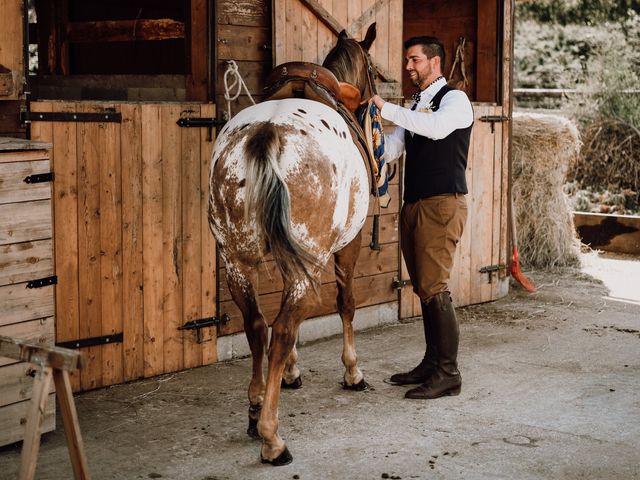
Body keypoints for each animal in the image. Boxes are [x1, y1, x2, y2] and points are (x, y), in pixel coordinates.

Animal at [208, 25, 378, 464]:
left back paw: (255, 409)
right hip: (310, 258)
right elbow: (346, 304)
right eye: (373, 70)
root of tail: (268, 131)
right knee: (283, 328)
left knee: (257, 325)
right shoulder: (347, 247)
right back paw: (272, 437)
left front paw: (289, 372)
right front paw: (352, 371)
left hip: (235, 260)